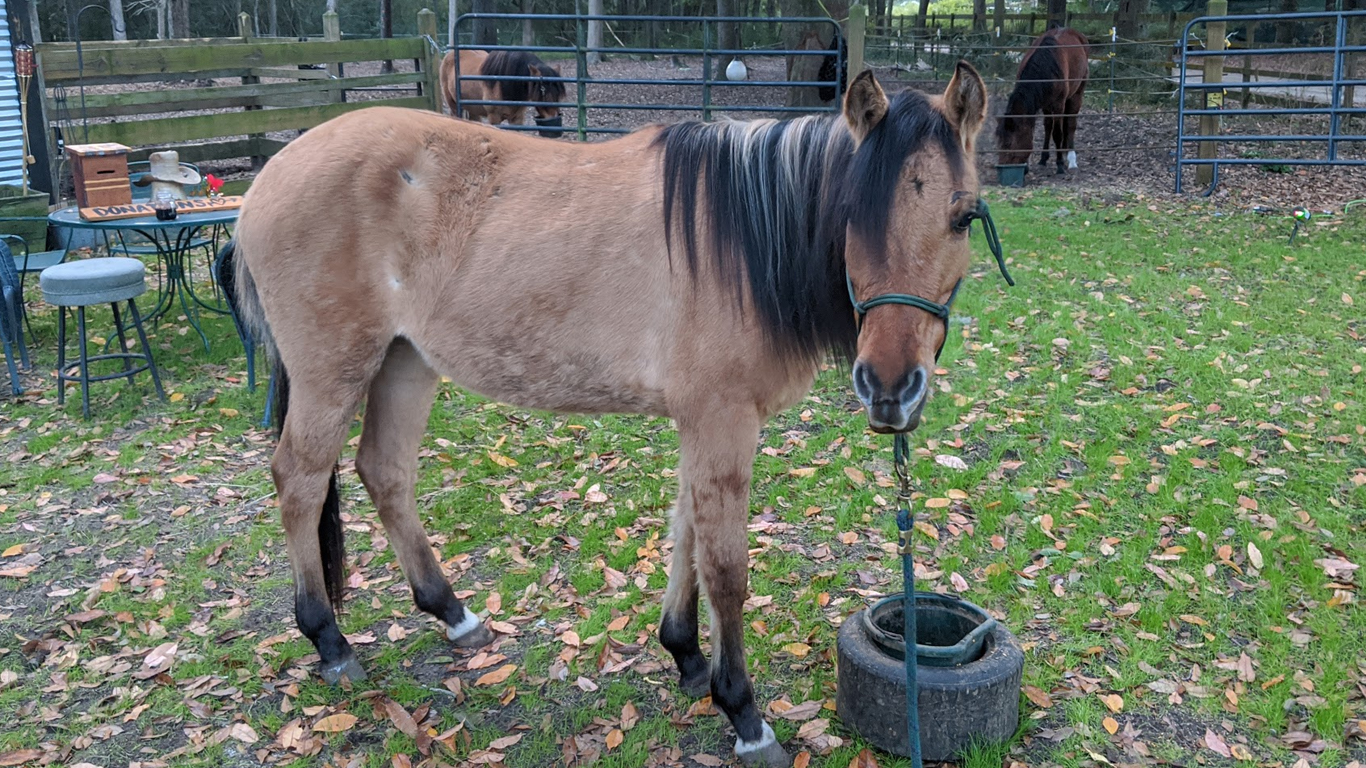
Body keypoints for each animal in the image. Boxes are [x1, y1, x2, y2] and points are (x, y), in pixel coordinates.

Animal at [224, 61, 1010, 765]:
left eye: (963, 216)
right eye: (852, 214)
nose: (889, 388)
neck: (742, 243)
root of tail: (270, 176)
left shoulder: (704, 424)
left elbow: (685, 534)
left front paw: (687, 657)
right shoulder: (721, 421)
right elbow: (725, 567)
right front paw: (743, 713)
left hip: (405, 362)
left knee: (384, 473)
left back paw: (452, 614)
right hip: (334, 373)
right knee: (299, 482)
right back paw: (329, 641)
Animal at [994, 25, 1087, 174]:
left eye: (1008, 143)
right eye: (999, 143)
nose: (1002, 167)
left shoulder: (1058, 105)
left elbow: (1058, 133)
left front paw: (1060, 165)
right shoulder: (1042, 104)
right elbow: (1043, 129)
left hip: (1076, 95)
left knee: (1070, 124)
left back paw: (1071, 159)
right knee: (1048, 126)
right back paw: (1045, 158)